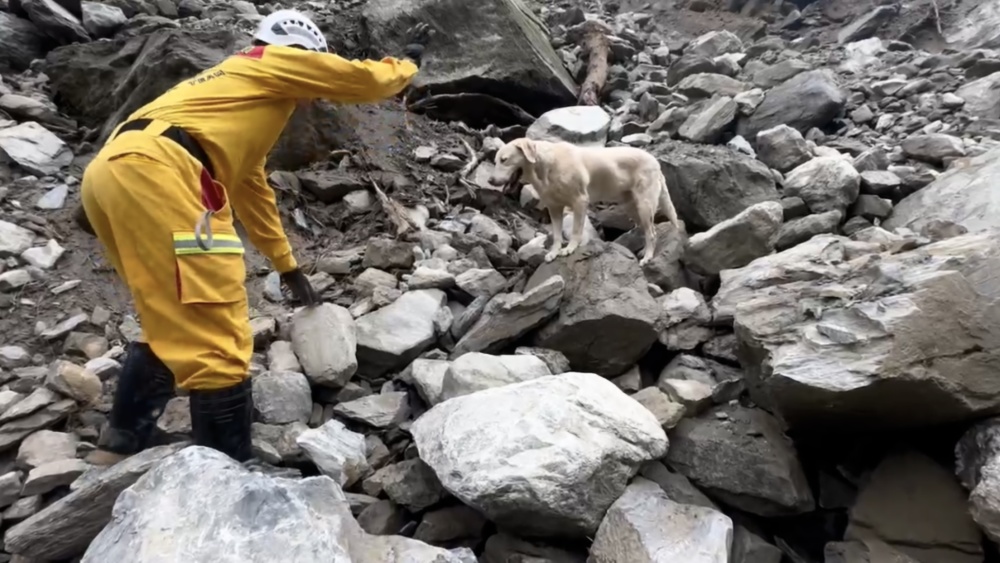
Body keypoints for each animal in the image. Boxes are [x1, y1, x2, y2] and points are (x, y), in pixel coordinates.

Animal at [488, 139, 684, 266]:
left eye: (504, 160)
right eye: (495, 161)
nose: (490, 180)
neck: (546, 167)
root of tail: (655, 162)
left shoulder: (580, 202)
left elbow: (576, 230)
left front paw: (570, 249)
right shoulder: (554, 208)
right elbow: (557, 235)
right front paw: (553, 252)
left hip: (644, 204)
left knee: (652, 232)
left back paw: (647, 257)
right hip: (631, 206)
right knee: (647, 229)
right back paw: (645, 251)